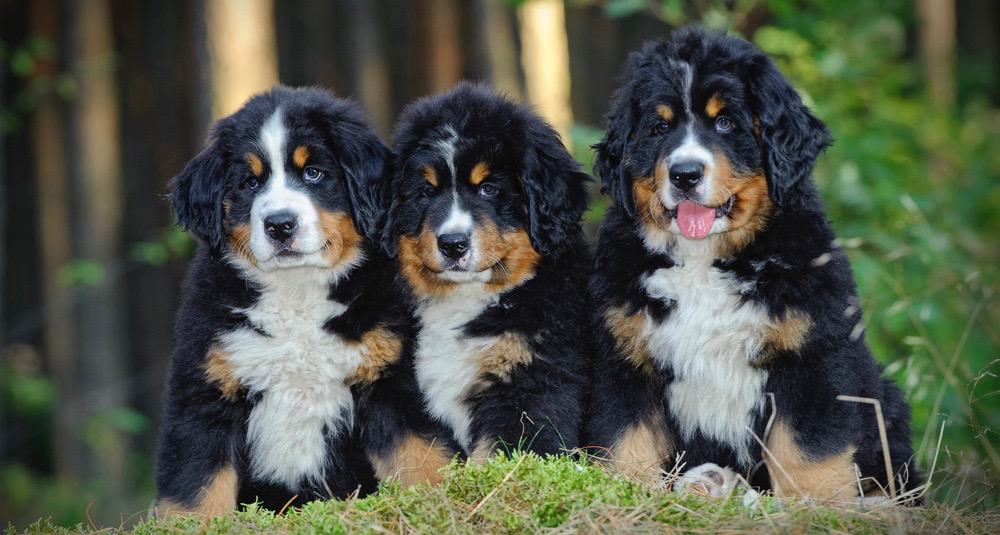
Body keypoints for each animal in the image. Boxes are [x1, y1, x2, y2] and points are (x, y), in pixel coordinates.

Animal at [157, 87, 406, 516]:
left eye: (314, 173)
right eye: (249, 182)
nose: (279, 224)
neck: (296, 290)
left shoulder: (387, 377)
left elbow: (420, 454)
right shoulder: (205, 389)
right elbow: (196, 487)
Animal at [378, 81, 588, 472]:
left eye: (489, 188)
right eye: (426, 191)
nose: (452, 244)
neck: (464, 299)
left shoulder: (529, 381)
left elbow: (499, 451)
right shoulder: (401, 388)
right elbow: (417, 459)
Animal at [584, 26, 920, 502]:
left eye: (725, 122)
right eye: (659, 126)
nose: (684, 174)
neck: (704, 259)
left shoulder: (813, 355)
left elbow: (809, 452)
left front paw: (815, 506)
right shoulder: (624, 356)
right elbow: (625, 443)